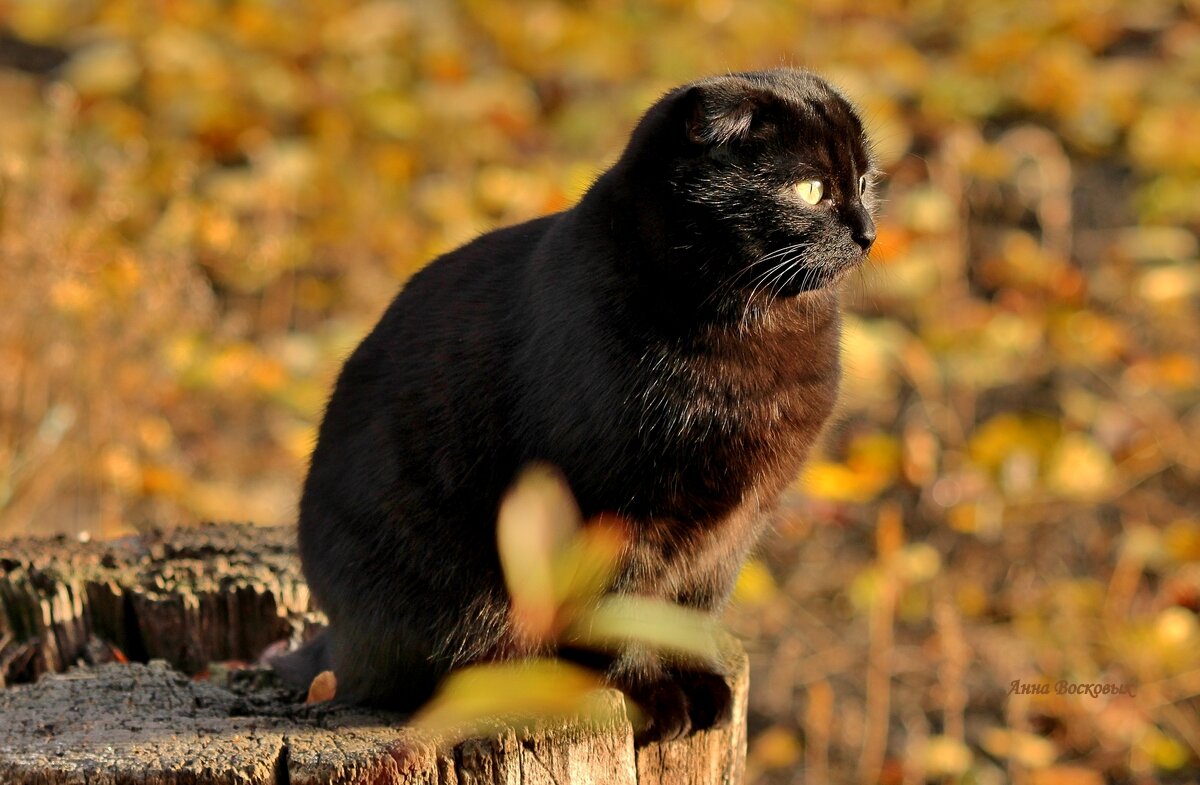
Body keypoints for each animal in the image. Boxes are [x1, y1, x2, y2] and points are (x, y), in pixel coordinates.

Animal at [276, 69, 878, 744]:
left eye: (863, 182)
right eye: (810, 190)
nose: (868, 233)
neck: (753, 335)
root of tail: (333, 648)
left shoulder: (734, 529)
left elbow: (690, 613)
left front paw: (700, 685)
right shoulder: (613, 516)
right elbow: (622, 616)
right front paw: (654, 698)